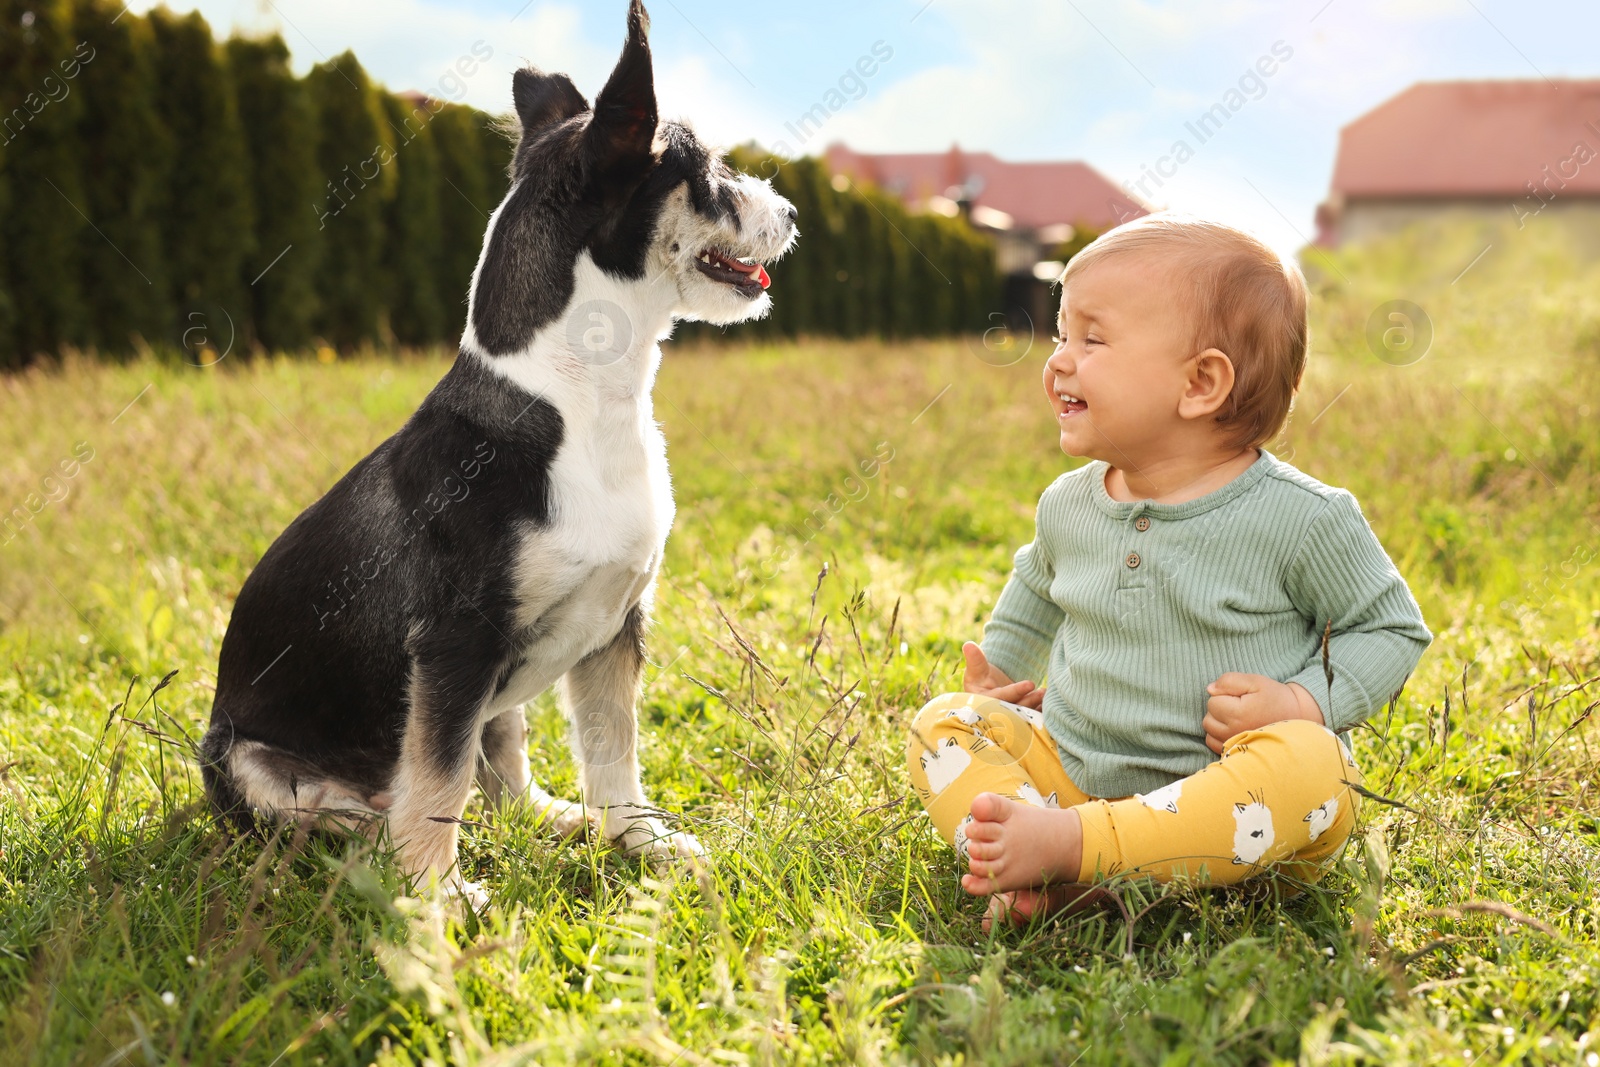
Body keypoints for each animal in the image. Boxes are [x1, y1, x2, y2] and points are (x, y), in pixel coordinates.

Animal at [201, 2, 800, 902]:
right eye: (706, 169)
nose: (793, 214)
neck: (579, 404)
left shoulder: (615, 624)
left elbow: (612, 749)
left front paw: (642, 841)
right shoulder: (454, 645)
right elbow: (438, 775)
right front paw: (437, 896)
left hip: (501, 696)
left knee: (506, 770)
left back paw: (558, 821)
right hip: (252, 762)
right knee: (354, 811)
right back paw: (379, 848)